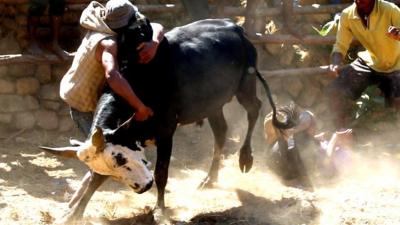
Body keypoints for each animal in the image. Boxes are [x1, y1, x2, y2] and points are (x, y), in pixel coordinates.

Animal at [76, 18, 290, 214]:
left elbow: (161, 173)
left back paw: (245, 157)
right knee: (221, 132)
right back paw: (209, 179)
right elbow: (95, 179)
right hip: (213, 104)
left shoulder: (166, 132)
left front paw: (160, 209)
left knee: (254, 108)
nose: (143, 187)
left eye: (123, 159)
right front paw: (76, 212)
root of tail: (236, 27)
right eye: (115, 163)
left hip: (246, 85)